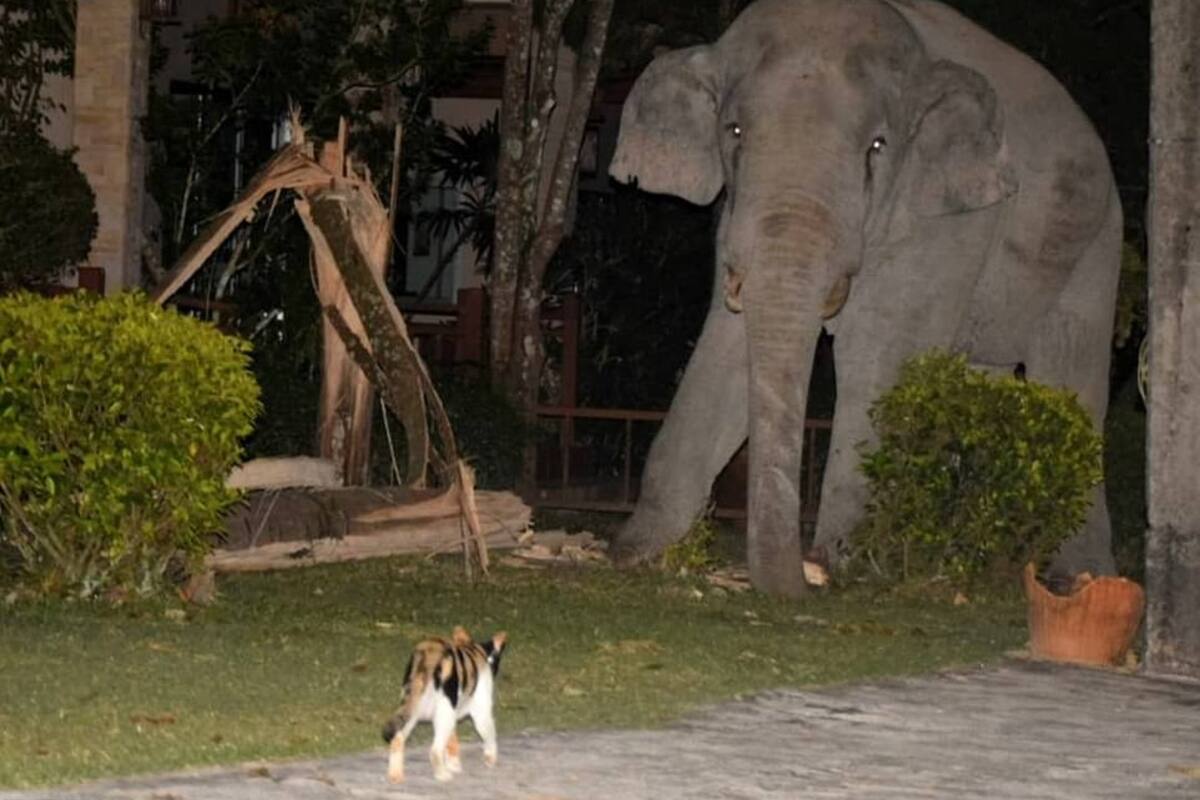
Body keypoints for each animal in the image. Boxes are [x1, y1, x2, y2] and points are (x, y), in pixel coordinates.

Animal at [607, 0, 1122, 596]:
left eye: (877, 147)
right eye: (733, 132)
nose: (803, 581)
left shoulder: (948, 220)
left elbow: (875, 356)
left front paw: (847, 565)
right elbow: (727, 347)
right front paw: (637, 551)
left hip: (1097, 246)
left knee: (1072, 375)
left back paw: (1079, 577)